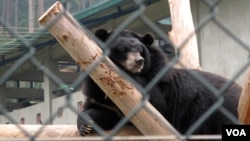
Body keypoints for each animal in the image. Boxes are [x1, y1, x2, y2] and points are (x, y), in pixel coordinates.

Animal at [76, 28, 242, 137]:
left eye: (140, 50)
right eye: (122, 49)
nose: (139, 61)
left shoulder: (161, 87)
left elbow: (156, 105)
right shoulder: (97, 91)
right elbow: (103, 111)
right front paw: (86, 125)